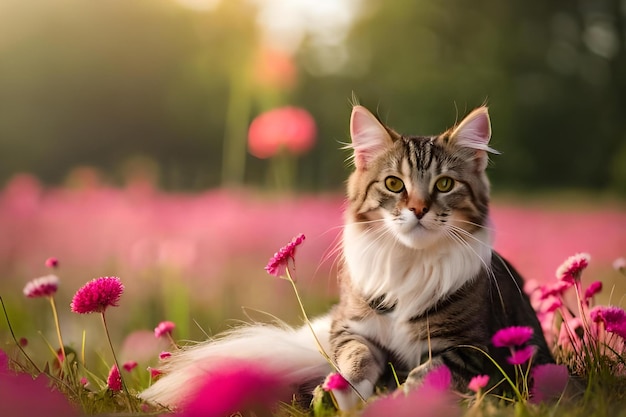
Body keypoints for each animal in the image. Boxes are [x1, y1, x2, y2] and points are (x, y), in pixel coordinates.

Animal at [138, 103, 552, 410]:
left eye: (445, 184)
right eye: (394, 184)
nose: (418, 210)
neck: (410, 261)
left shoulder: (471, 350)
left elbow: (425, 375)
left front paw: (394, 402)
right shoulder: (351, 329)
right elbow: (355, 359)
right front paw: (339, 394)